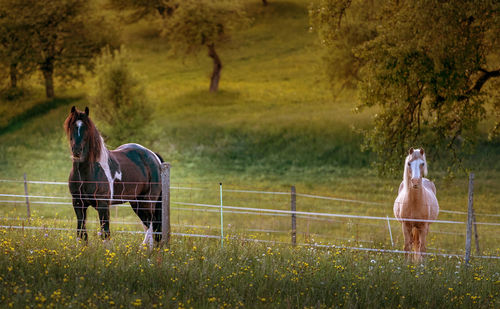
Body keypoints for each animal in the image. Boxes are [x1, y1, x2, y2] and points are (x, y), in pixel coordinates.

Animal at [63, 106, 163, 245]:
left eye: (86, 128)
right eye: (72, 126)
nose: (77, 151)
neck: (87, 173)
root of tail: (153, 155)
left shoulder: (103, 205)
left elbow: (105, 234)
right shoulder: (78, 203)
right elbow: (81, 233)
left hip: (148, 201)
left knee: (152, 224)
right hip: (136, 202)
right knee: (148, 225)